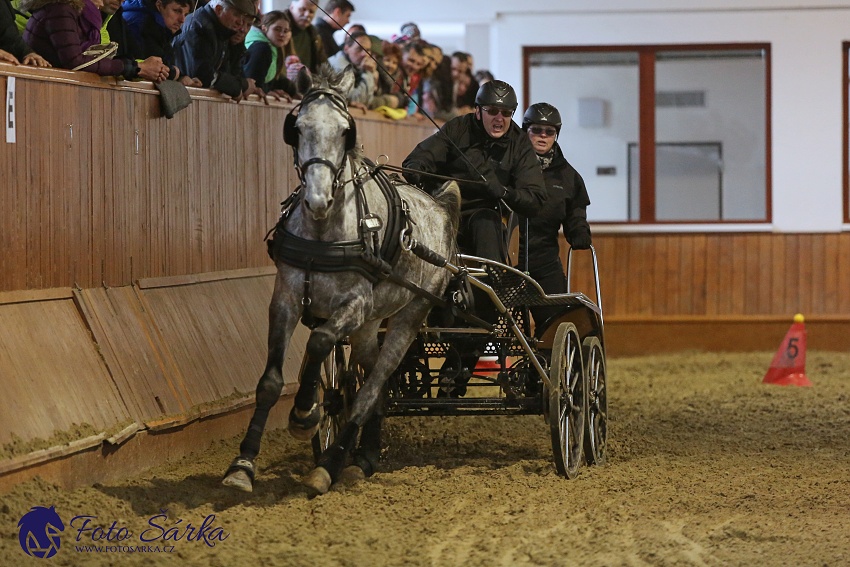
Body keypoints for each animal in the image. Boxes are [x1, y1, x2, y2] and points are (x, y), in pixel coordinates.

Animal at [219, 64, 458, 494]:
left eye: (347, 130)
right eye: (296, 127)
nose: (317, 199)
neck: (323, 232)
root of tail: (439, 208)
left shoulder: (354, 305)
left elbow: (320, 342)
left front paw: (305, 414)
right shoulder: (286, 299)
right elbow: (270, 382)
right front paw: (242, 465)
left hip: (410, 313)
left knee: (372, 385)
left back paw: (328, 466)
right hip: (368, 327)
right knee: (373, 386)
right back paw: (363, 457)